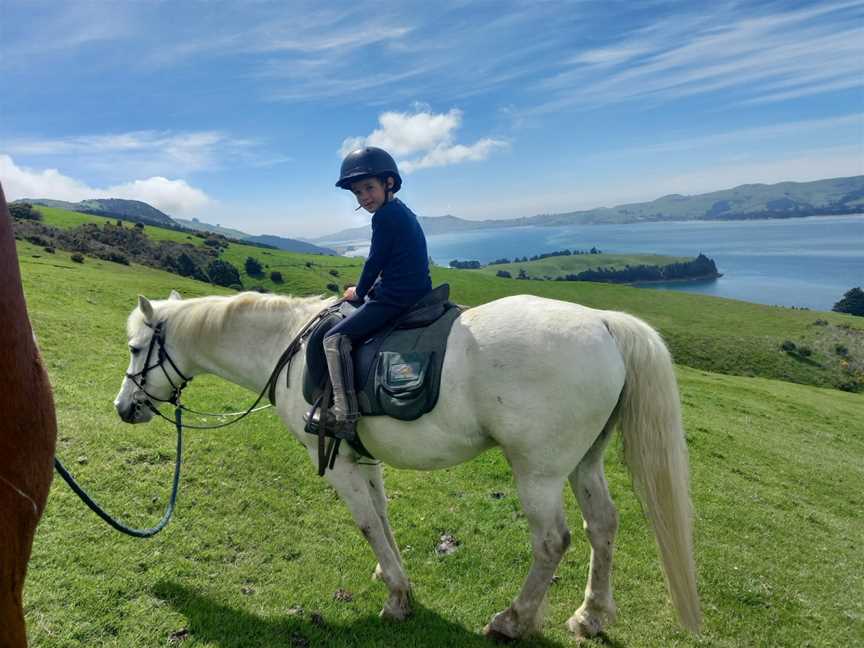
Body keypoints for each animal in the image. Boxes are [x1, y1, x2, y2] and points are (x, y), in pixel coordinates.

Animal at [113, 292, 704, 640]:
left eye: (137, 347)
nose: (124, 407)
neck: (287, 346)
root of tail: (603, 323)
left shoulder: (334, 463)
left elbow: (365, 522)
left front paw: (397, 598)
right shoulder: (360, 455)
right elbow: (382, 515)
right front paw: (390, 573)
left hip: (538, 472)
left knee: (552, 541)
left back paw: (512, 620)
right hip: (584, 462)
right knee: (603, 524)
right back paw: (591, 615)